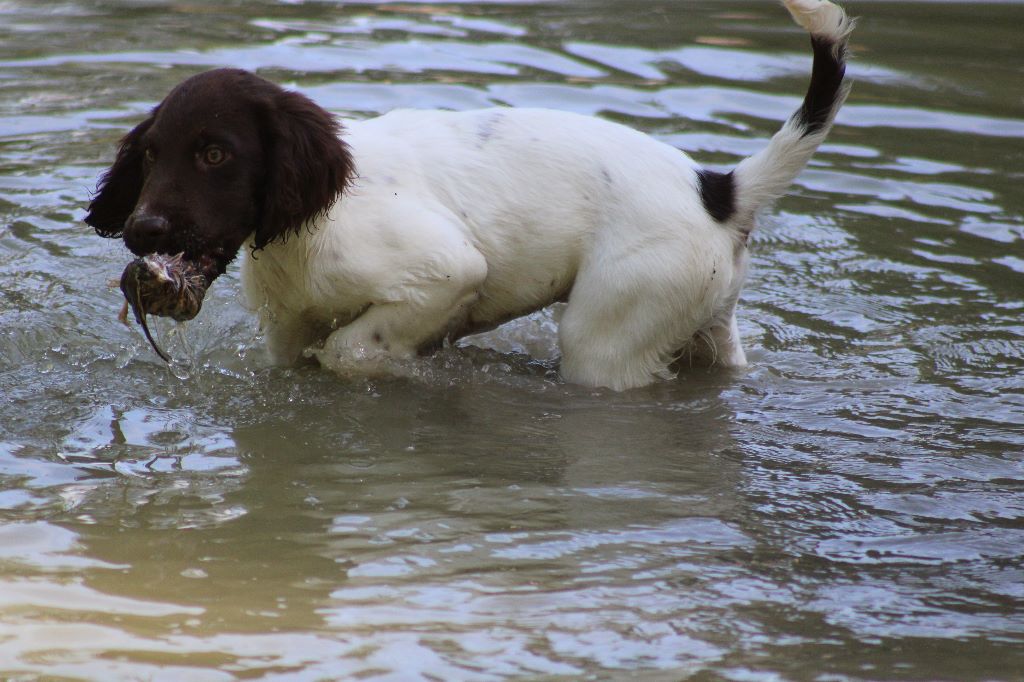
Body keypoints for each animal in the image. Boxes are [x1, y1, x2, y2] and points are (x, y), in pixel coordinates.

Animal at [86, 0, 856, 387]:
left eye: (215, 154)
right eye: (150, 155)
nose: (143, 233)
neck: (305, 229)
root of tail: (718, 189)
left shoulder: (446, 270)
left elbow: (351, 351)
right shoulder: (285, 333)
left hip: (605, 339)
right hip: (707, 325)